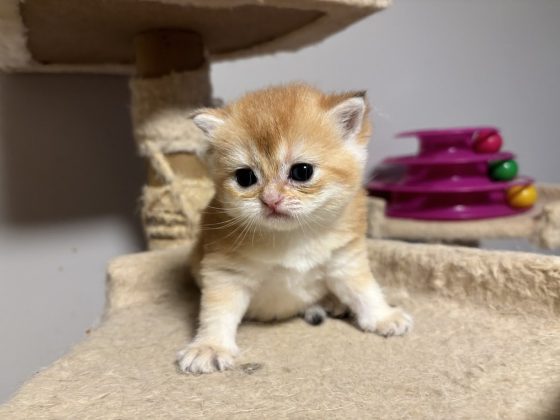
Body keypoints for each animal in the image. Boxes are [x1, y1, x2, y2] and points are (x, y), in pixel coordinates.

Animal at [177, 83, 414, 372]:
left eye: (302, 172)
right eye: (245, 177)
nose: (271, 200)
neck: (292, 236)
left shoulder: (345, 260)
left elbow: (364, 290)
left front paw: (383, 316)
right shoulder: (225, 272)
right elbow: (218, 311)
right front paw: (210, 346)